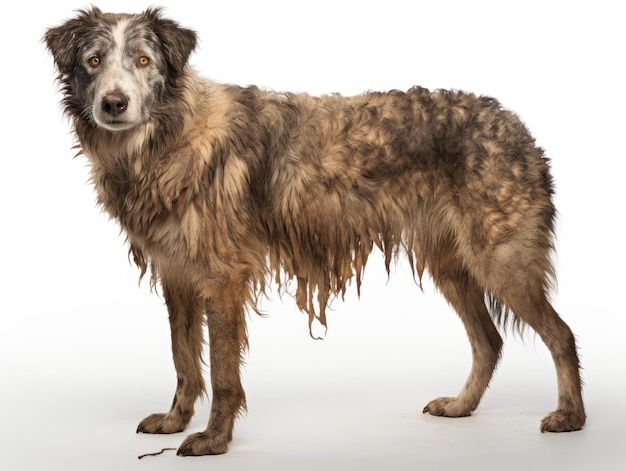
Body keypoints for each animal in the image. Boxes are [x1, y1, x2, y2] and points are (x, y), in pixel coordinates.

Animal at [45, 6, 584, 458]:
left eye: (143, 60)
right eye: (93, 61)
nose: (114, 104)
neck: (167, 136)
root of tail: (518, 126)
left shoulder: (222, 279)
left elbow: (222, 372)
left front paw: (214, 440)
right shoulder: (178, 277)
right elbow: (183, 360)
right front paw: (177, 420)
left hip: (503, 262)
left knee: (561, 334)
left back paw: (570, 416)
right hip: (452, 266)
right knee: (488, 342)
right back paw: (461, 406)